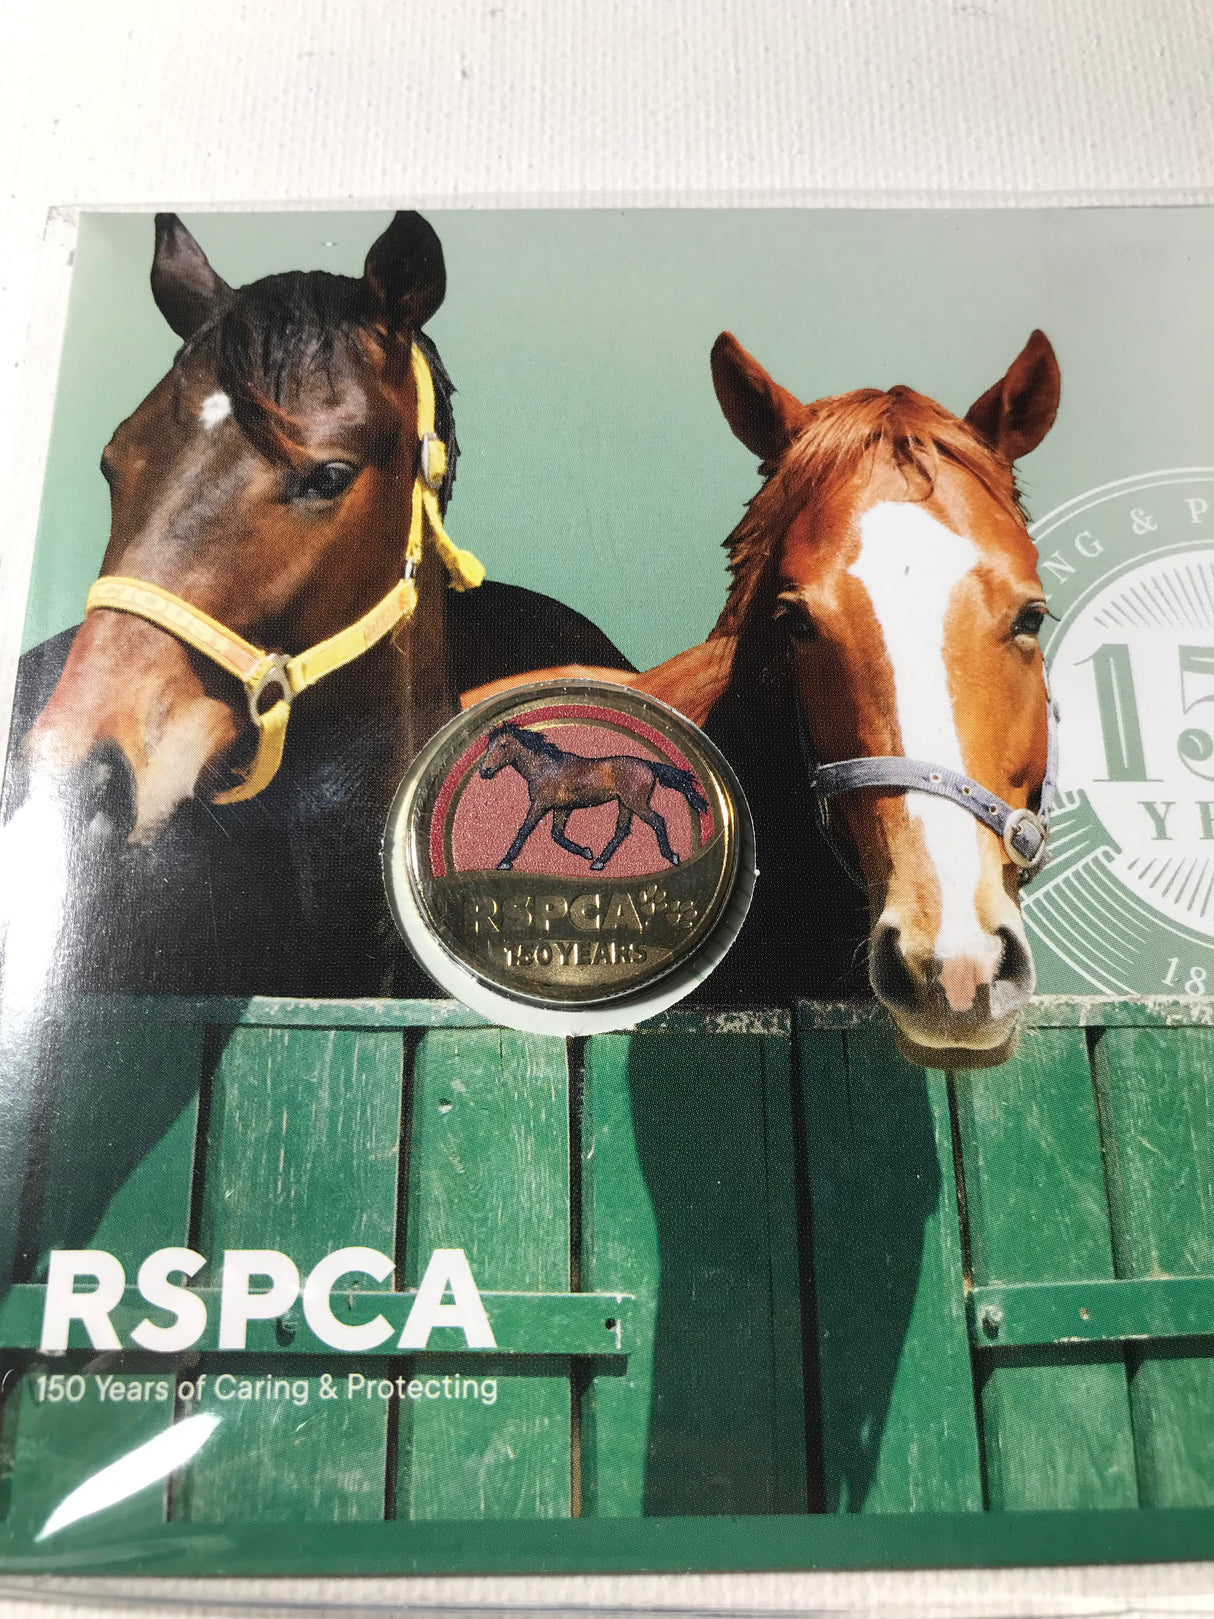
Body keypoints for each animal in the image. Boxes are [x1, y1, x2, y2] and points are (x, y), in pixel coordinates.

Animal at [477, 720, 709, 871]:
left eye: (503, 745)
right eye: (489, 746)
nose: (484, 771)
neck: (544, 767)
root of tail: (648, 764)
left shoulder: (540, 804)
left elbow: (525, 830)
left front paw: (505, 862)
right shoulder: (562, 807)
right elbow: (556, 835)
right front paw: (586, 852)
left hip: (636, 802)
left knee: (657, 821)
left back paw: (672, 857)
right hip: (625, 804)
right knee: (621, 831)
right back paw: (598, 862)